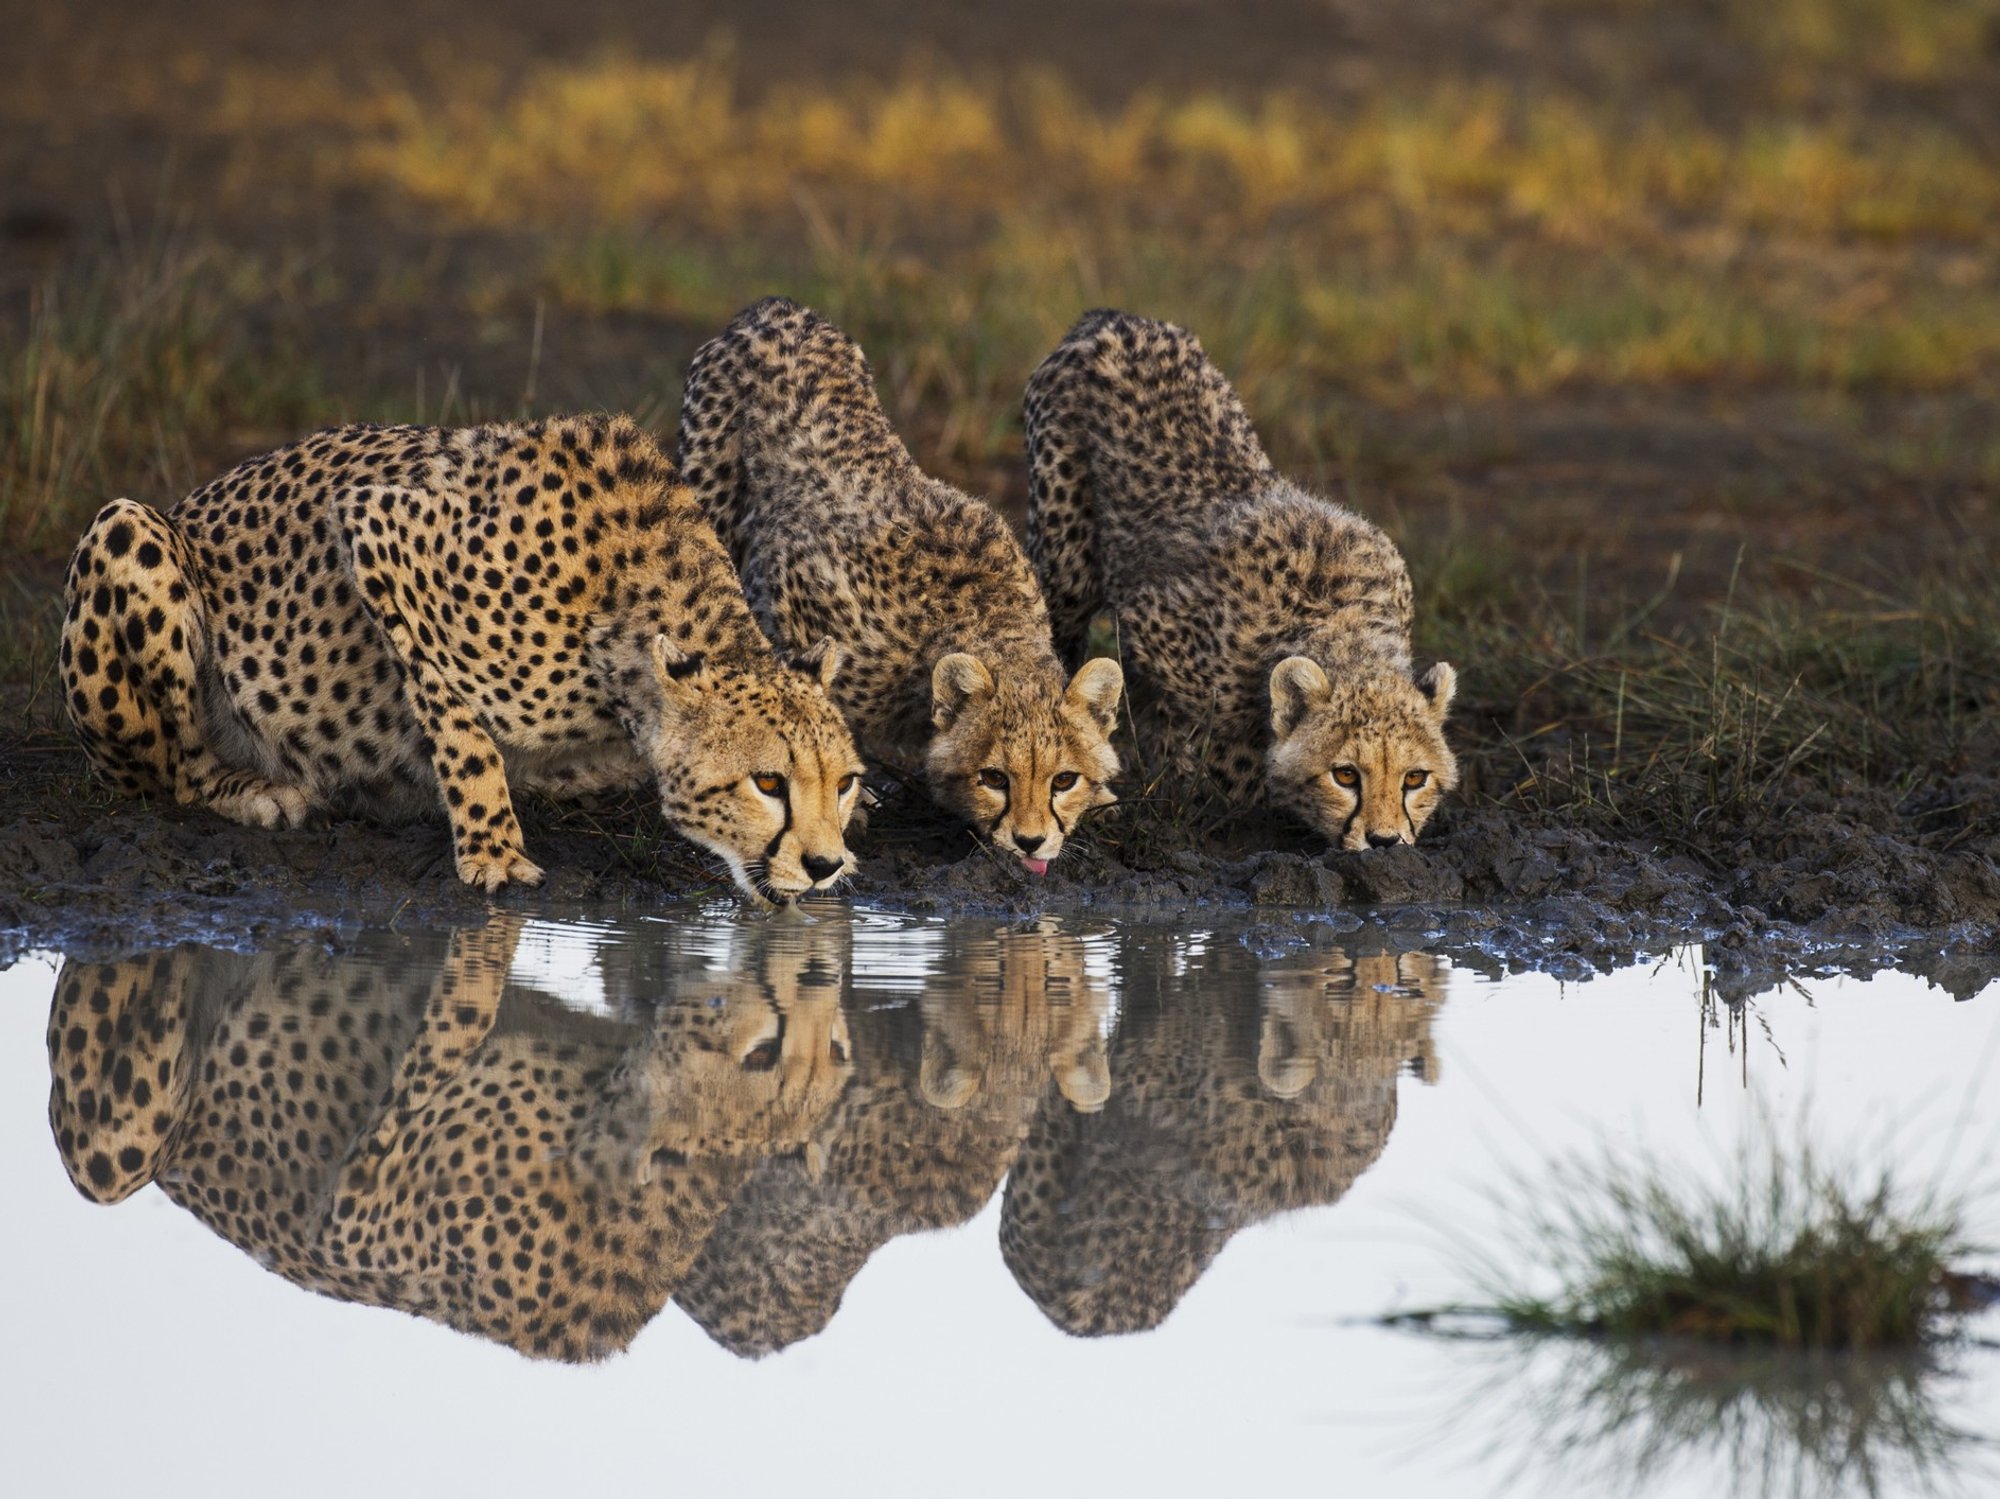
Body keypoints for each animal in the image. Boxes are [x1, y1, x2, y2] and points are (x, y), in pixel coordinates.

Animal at [45, 914, 855, 1361]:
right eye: (764, 1054)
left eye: (838, 1051)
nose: (820, 975)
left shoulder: (355, 1203)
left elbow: (458, 1006)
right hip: (113, 1158)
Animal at [58, 414, 864, 902]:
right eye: (767, 782)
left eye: (847, 782)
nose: (824, 865)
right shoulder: (377, 527)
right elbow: (462, 725)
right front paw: (494, 850)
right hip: (128, 527)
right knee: (174, 767)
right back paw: (252, 789)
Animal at [676, 297, 1123, 876]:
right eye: (994, 778)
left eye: (1064, 779)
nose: (1031, 842)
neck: (980, 617)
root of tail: (778, 308)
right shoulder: (798, 594)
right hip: (710, 495)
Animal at [1024, 310, 1459, 850]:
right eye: (1346, 775)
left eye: (1415, 778)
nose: (1384, 842)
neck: (1338, 619)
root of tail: (1115, 318)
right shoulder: (1149, 622)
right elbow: (1214, 743)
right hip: (1067, 559)